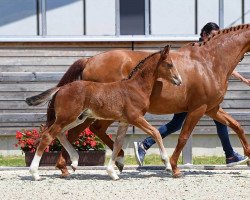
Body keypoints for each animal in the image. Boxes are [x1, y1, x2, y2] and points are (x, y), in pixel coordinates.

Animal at [25, 45, 182, 181]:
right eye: (169, 64)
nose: (179, 81)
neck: (136, 87)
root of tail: (61, 88)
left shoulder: (124, 122)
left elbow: (118, 144)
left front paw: (113, 172)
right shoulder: (136, 118)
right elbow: (155, 132)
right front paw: (167, 165)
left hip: (77, 118)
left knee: (61, 134)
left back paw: (74, 161)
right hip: (67, 117)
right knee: (48, 135)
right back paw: (35, 174)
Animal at [39, 23, 250, 178]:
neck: (209, 62)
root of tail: (90, 60)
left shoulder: (212, 108)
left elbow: (237, 126)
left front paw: (246, 156)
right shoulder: (199, 108)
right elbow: (183, 136)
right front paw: (173, 167)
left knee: (83, 131)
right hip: (93, 112)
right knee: (74, 131)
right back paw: (72, 164)